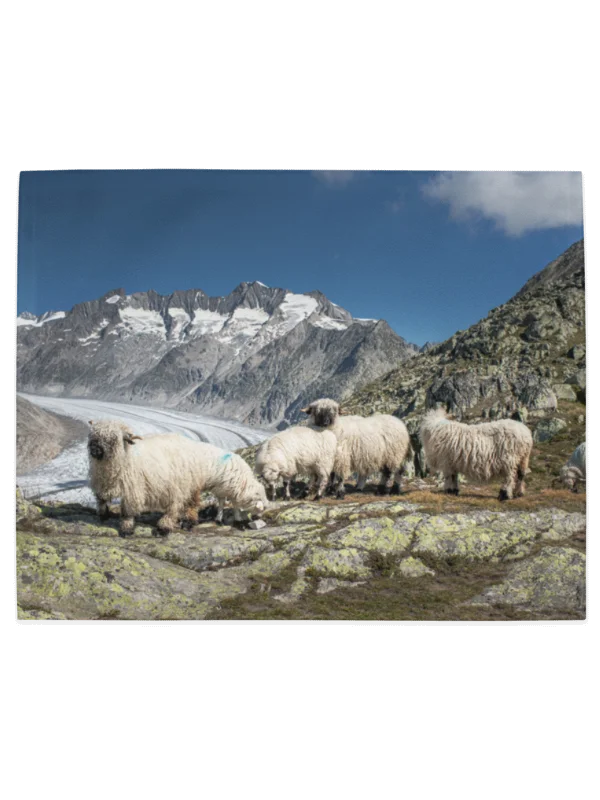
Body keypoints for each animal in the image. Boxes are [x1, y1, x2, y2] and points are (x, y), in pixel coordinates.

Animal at [87, 420, 268, 536]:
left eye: (113, 438)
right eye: (92, 435)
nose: (94, 450)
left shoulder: (133, 489)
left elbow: (127, 512)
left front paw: (126, 529)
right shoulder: (101, 483)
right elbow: (101, 500)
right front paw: (103, 514)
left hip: (180, 485)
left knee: (181, 506)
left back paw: (168, 527)